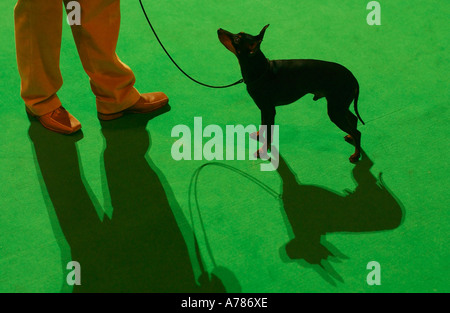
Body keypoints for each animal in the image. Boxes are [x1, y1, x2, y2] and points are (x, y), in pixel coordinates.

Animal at [219, 25, 366, 162]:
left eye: (237, 39)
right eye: (239, 33)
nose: (219, 29)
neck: (261, 70)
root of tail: (353, 78)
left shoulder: (269, 110)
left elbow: (269, 133)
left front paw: (262, 151)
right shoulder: (263, 109)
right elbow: (263, 125)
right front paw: (259, 135)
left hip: (335, 111)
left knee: (357, 132)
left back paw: (356, 154)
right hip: (340, 106)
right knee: (354, 118)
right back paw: (351, 138)